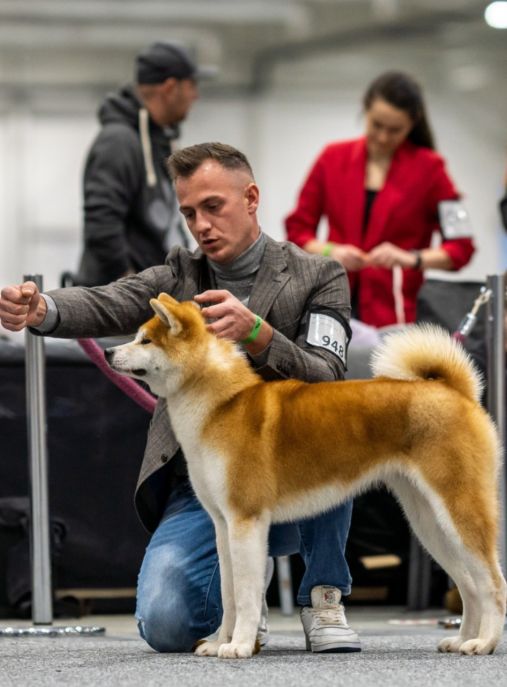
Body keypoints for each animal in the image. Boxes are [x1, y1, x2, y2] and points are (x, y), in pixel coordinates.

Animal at [105, 296, 506, 660]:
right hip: (429, 523)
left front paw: (238, 646)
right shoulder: (222, 525)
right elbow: (229, 595)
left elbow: (246, 596)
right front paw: (220, 642)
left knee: (493, 584)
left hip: (459, 511)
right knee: (469, 585)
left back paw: (484, 643)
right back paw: (462, 640)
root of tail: (454, 391)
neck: (220, 404)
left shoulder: (246, 521)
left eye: (145, 340)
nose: (108, 352)